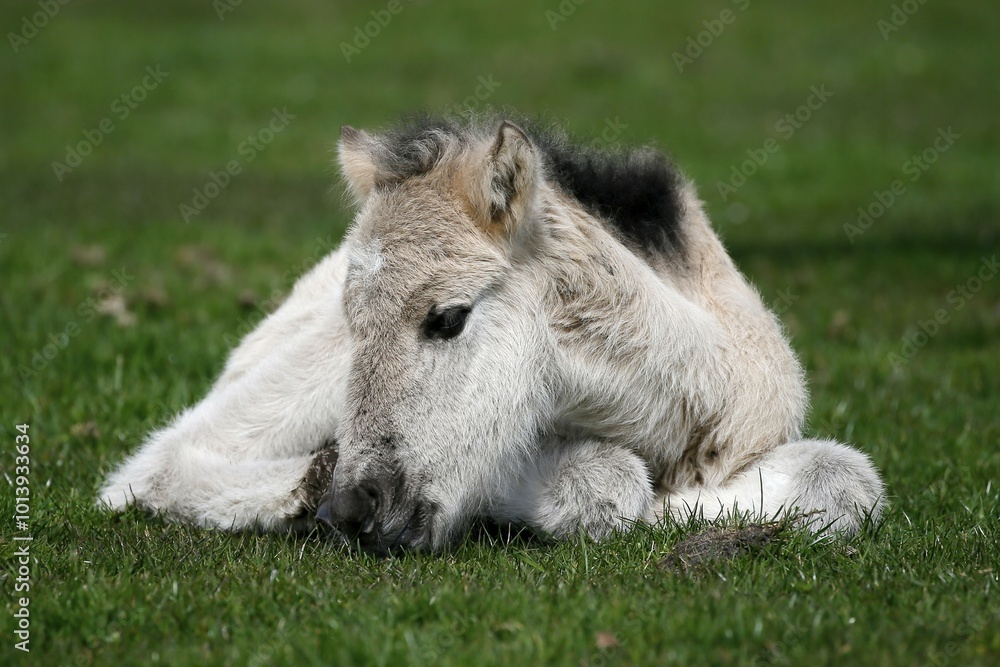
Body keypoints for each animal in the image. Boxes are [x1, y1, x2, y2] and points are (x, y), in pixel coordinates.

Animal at [98, 113, 885, 553]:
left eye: (448, 317)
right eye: (356, 326)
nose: (350, 511)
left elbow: (848, 482)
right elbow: (606, 481)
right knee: (154, 465)